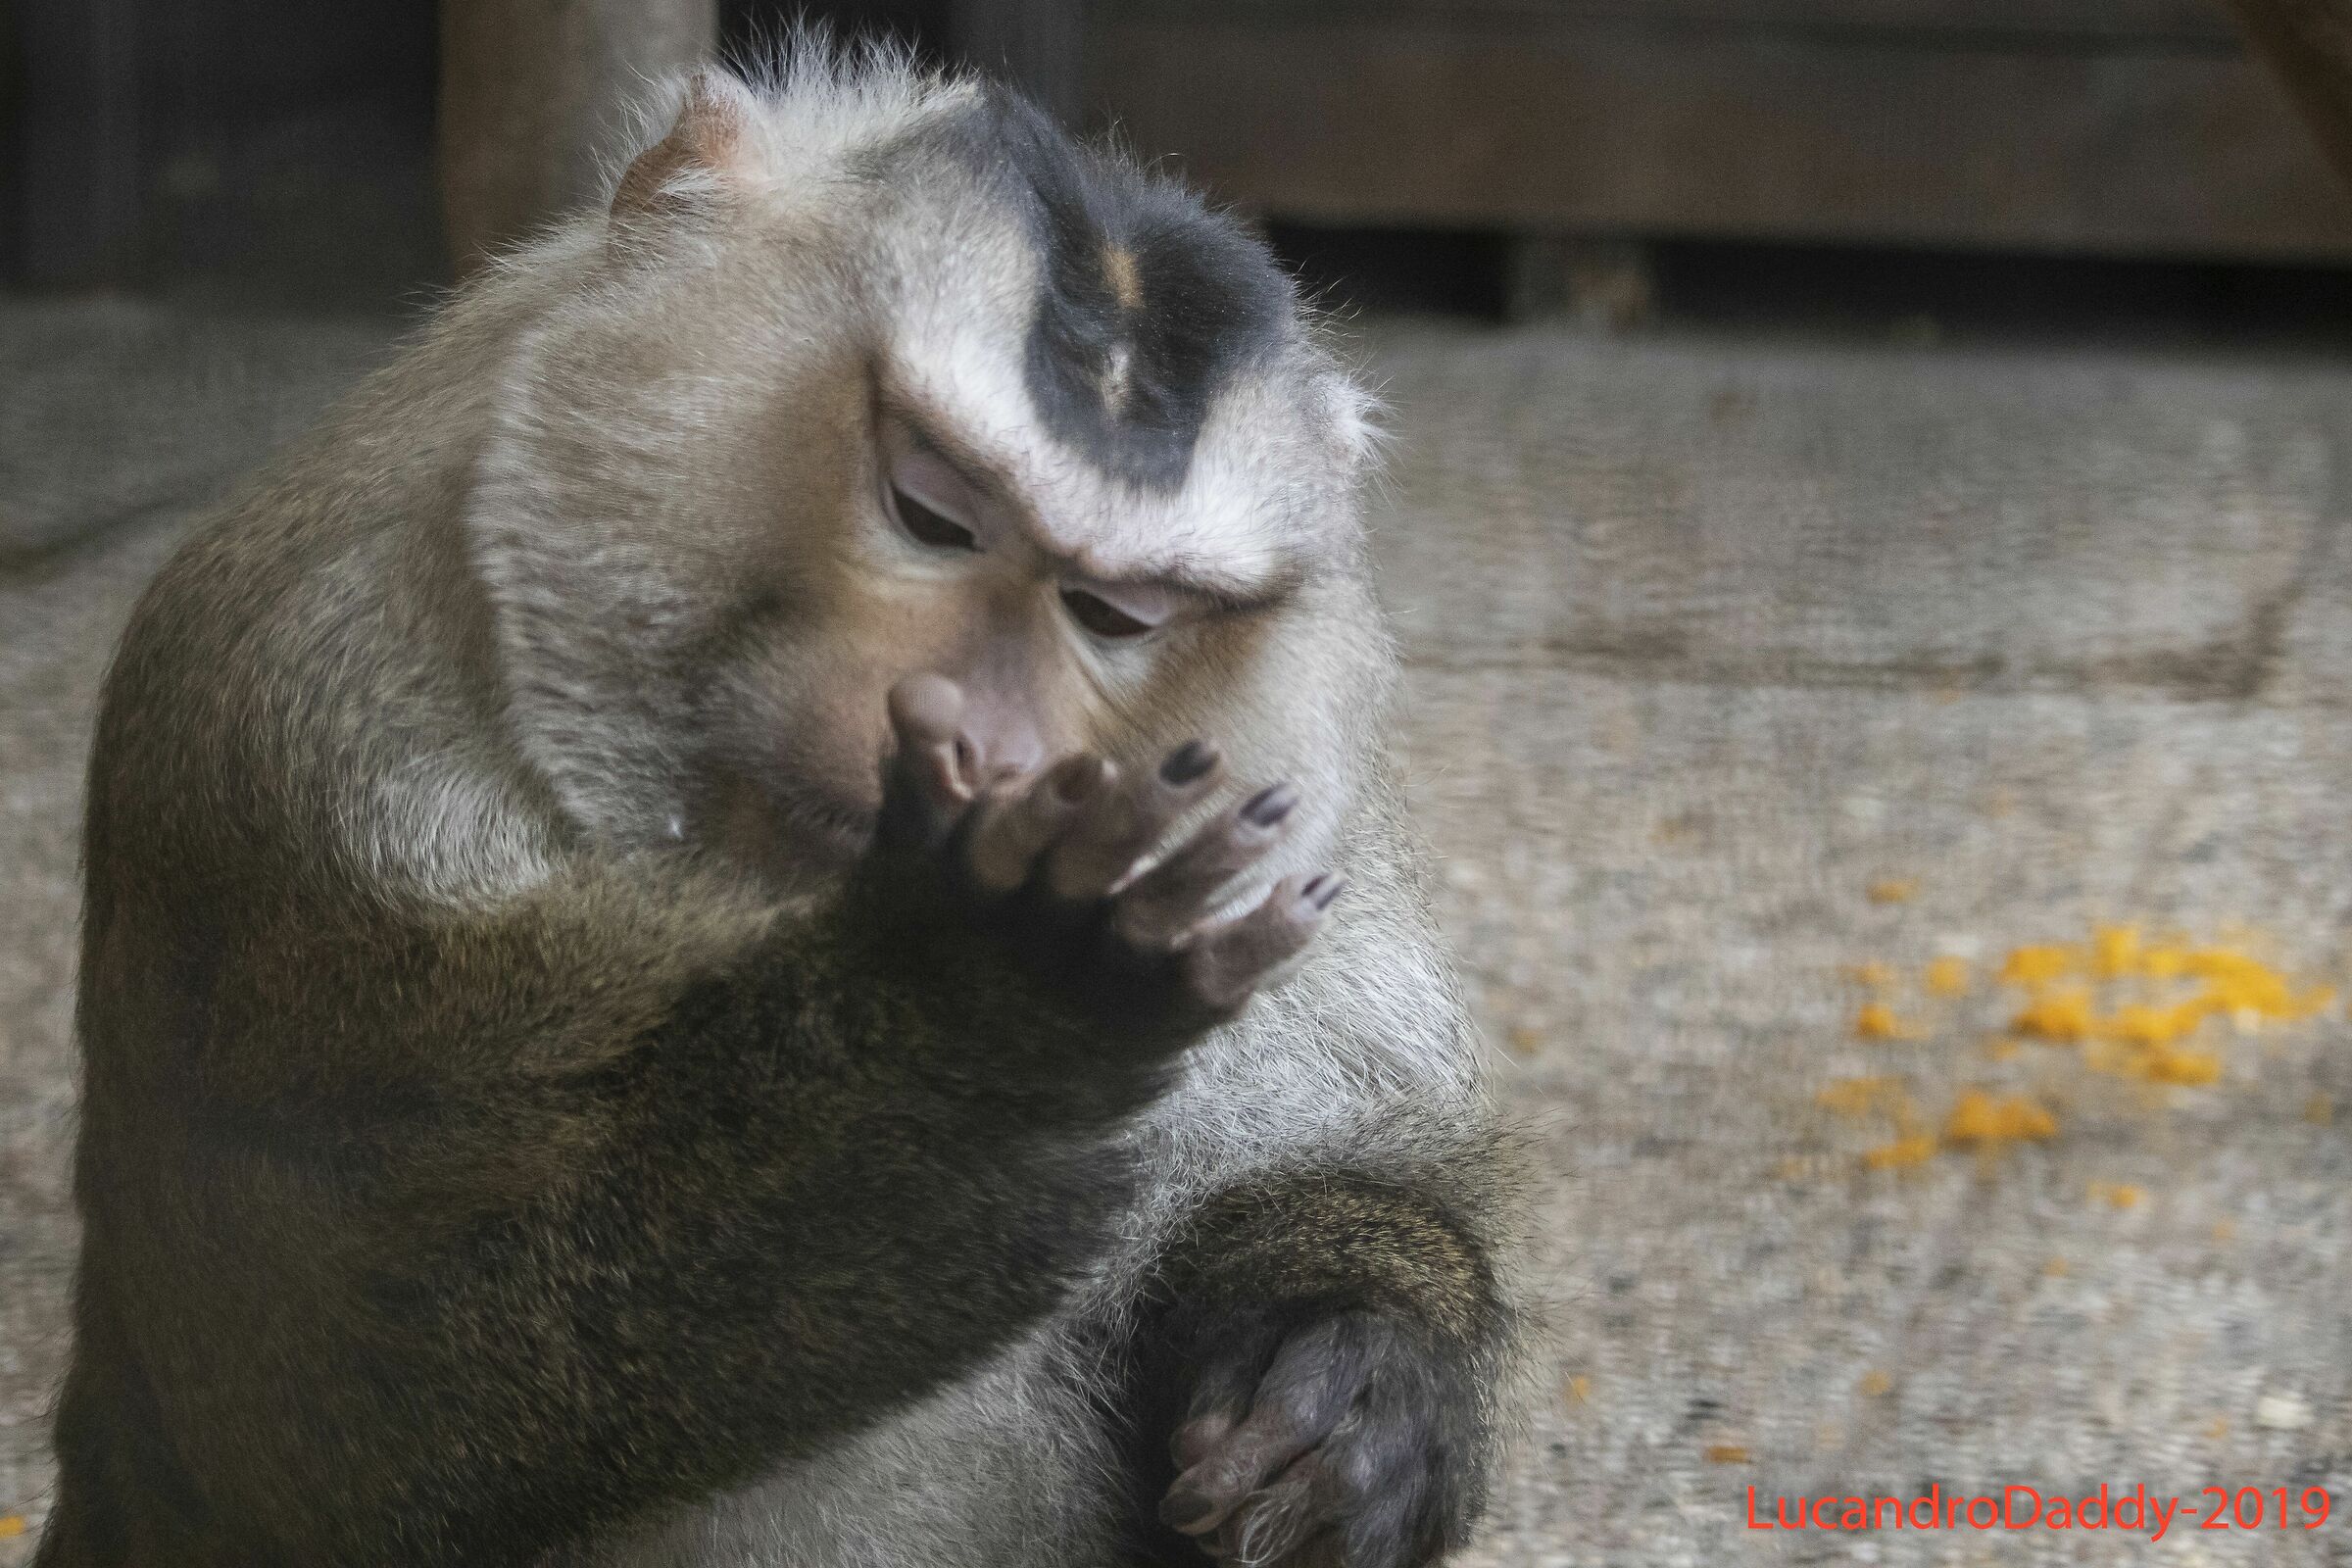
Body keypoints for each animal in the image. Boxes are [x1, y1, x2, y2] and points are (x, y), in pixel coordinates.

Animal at [35, 44, 1518, 1568]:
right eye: (929, 512)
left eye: (1113, 613)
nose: (986, 748)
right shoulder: (311, 751)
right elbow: (314, 1417)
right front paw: (972, 1054)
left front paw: (1359, 1367)